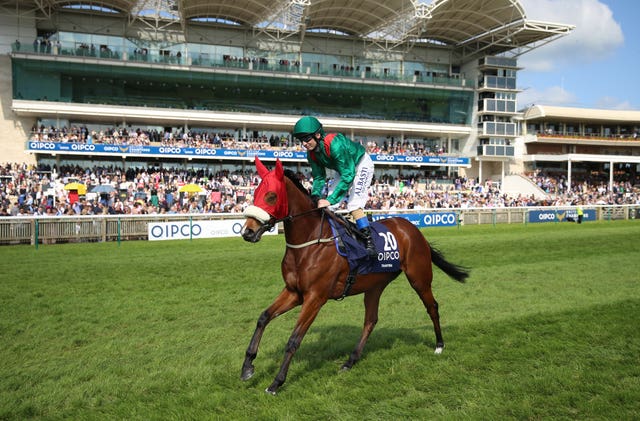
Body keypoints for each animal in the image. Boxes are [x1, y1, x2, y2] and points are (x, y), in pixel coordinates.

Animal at [240, 155, 470, 394]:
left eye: (271, 196)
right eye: (255, 194)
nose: (248, 232)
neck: (310, 243)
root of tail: (412, 228)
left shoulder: (315, 297)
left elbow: (294, 340)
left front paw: (276, 382)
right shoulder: (294, 292)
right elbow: (263, 317)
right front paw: (248, 367)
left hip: (419, 277)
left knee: (432, 307)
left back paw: (439, 345)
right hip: (375, 285)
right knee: (370, 320)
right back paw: (350, 360)